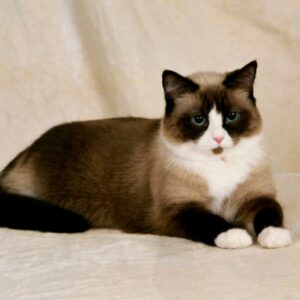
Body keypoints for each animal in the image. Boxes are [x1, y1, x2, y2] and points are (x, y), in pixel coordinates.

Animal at [0, 60, 292, 248]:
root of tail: (28, 150)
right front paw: (235, 235)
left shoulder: (257, 198)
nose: (219, 138)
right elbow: (210, 220)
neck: (219, 162)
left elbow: (271, 215)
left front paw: (275, 237)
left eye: (231, 117)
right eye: (199, 120)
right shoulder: (177, 210)